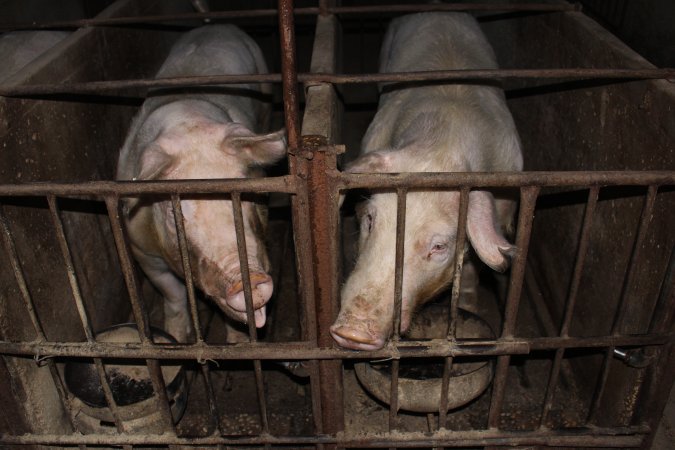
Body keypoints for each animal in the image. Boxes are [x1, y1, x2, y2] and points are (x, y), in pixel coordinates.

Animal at [116, 24, 286, 342]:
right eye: (176, 215)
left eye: (245, 195)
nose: (250, 279)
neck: (187, 122)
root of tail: (217, 25)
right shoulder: (142, 251)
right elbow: (172, 294)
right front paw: (177, 336)